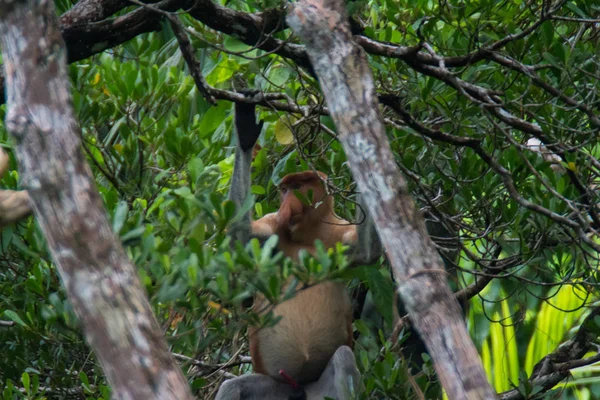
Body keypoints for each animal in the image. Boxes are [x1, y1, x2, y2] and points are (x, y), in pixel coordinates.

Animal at [218, 91, 382, 400]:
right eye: (284, 190)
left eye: (298, 188)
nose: (286, 206)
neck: (307, 234)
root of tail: (300, 387)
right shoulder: (271, 226)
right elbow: (239, 238)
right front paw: (244, 129)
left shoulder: (341, 233)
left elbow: (368, 252)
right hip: (274, 386)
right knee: (232, 387)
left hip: (319, 387)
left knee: (343, 358)